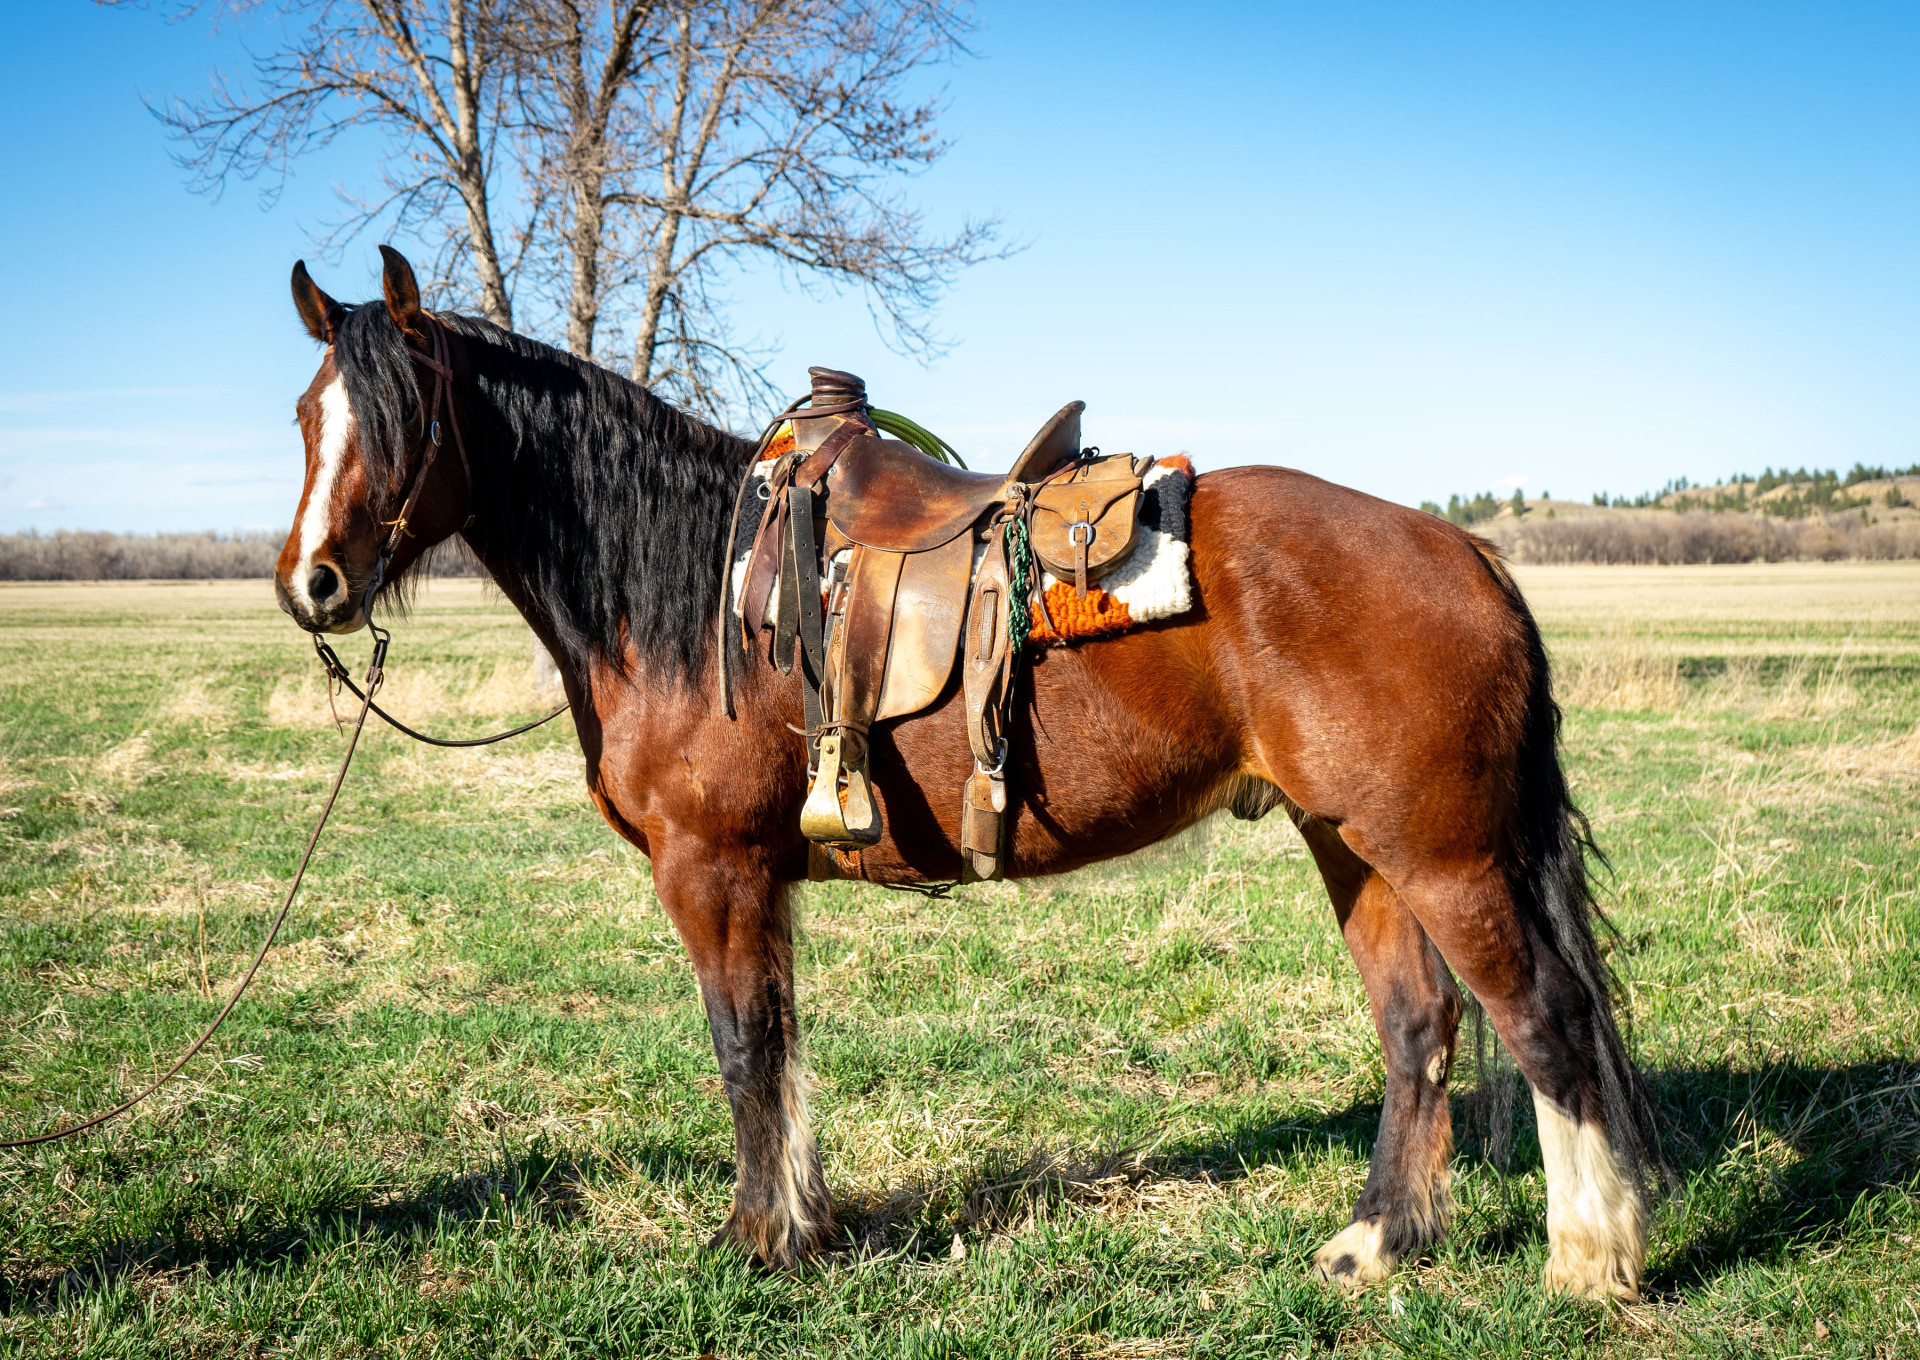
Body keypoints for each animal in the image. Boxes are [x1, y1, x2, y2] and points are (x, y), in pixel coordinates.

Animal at [274, 249, 1666, 1298]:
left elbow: (742, 1048)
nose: (314, 585)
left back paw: (1589, 1259)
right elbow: (780, 1044)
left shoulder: (712, 871)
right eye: (305, 419)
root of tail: (1463, 548)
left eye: (405, 422)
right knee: (1419, 1025)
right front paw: (804, 1222)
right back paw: (1376, 1241)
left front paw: (757, 1241)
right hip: (1352, 844)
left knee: (1544, 1018)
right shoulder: (759, 883)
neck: (690, 590)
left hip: (1442, 852)